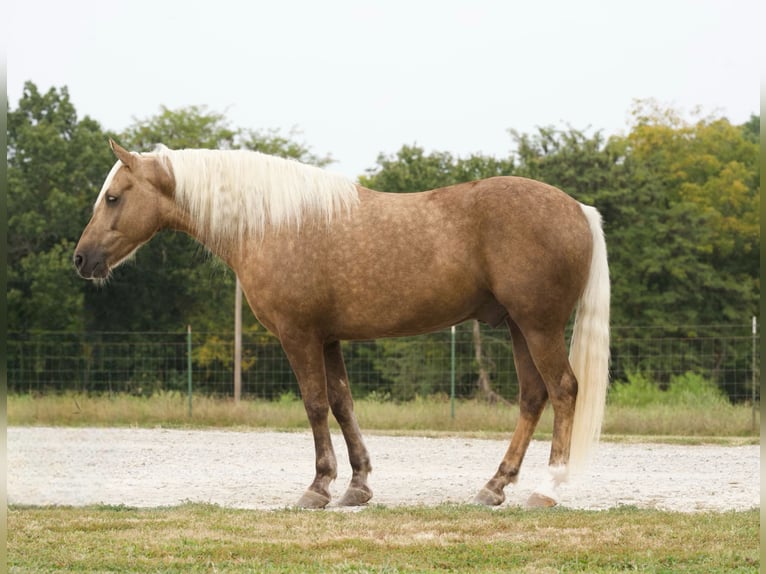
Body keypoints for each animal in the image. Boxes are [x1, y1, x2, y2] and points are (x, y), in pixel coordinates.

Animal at [74, 140, 610, 509]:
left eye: (114, 197)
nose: (82, 259)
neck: (273, 224)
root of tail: (579, 209)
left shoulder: (299, 336)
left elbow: (314, 405)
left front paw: (318, 487)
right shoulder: (328, 338)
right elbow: (342, 403)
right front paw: (358, 485)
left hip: (538, 326)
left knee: (563, 391)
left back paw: (547, 489)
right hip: (520, 327)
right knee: (533, 397)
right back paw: (494, 485)